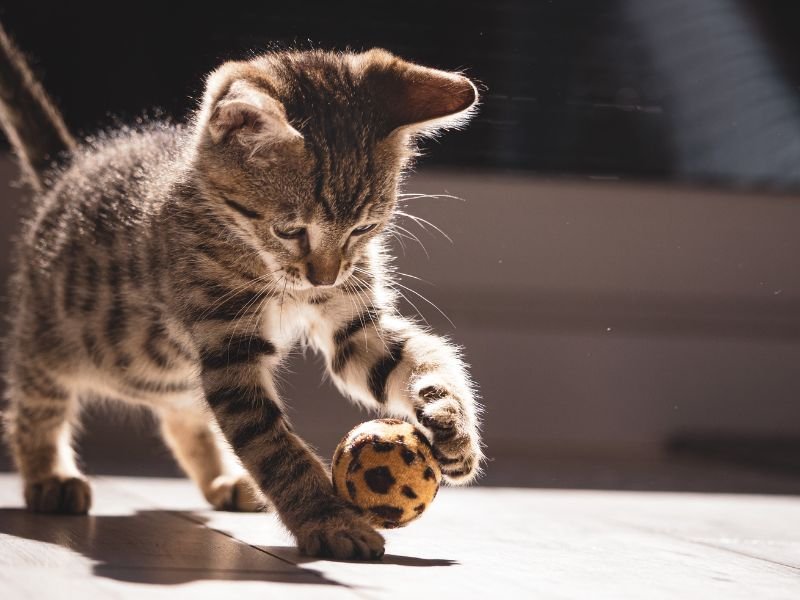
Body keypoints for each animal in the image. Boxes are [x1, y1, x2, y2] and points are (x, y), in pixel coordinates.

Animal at [1, 25, 482, 560]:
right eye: (290, 230)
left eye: (363, 229)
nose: (324, 278)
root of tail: (68, 171)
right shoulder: (228, 347)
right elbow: (272, 445)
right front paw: (329, 520)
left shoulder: (354, 326)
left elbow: (418, 357)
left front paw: (452, 424)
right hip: (53, 339)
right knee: (34, 401)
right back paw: (49, 475)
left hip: (172, 374)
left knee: (183, 415)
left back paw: (226, 480)